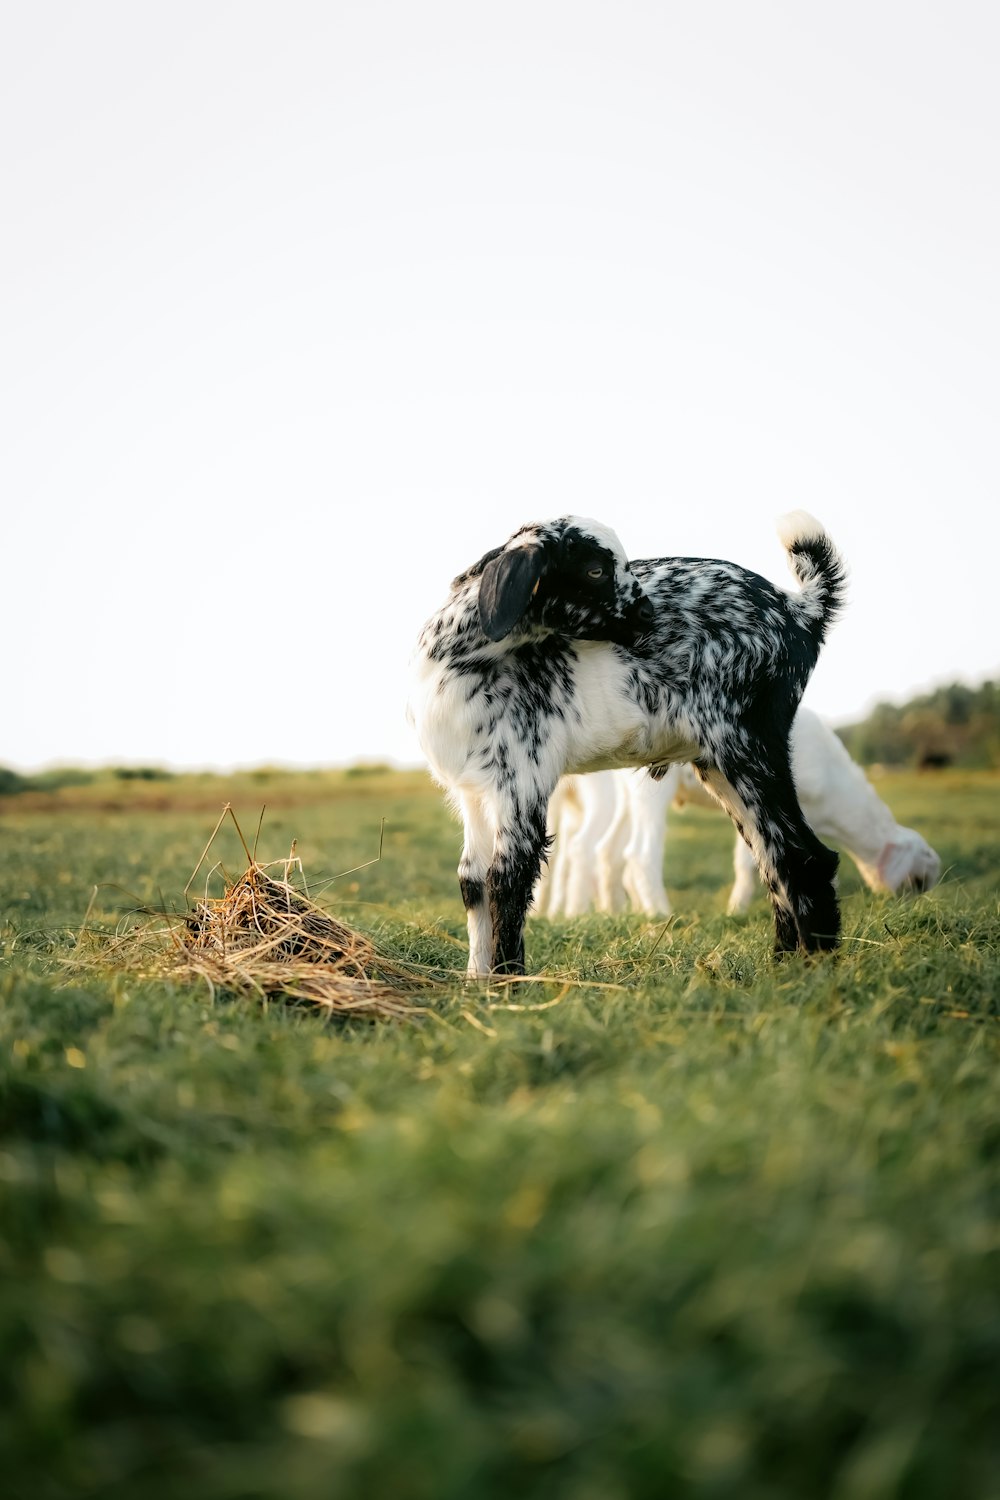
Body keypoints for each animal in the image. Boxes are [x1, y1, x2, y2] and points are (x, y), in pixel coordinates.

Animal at [410, 516, 851, 978]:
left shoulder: (522, 781)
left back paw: (813, 971)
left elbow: (505, 881)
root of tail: (799, 609)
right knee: (771, 858)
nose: (648, 614)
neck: (460, 661)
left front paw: (506, 983)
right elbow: (473, 881)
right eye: (595, 570)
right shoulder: (473, 791)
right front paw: (476, 982)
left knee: (804, 857)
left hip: (747, 742)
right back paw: (781, 969)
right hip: (721, 764)